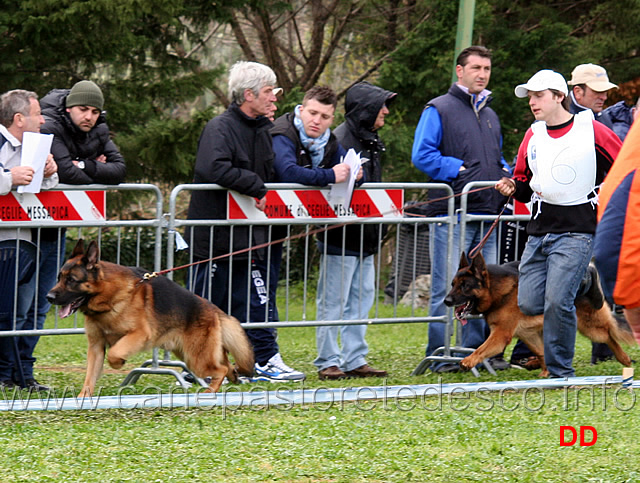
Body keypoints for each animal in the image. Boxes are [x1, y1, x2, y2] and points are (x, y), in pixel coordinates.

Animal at [46, 239, 252, 398]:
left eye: (71, 280)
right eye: (59, 278)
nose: (48, 297)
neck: (109, 296)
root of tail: (215, 310)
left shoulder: (139, 335)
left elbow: (114, 353)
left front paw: (119, 362)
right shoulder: (95, 347)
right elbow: (90, 376)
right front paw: (83, 397)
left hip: (196, 359)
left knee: (221, 369)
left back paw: (209, 392)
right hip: (191, 355)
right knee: (227, 365)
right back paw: (232, 378)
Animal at [442, 251, 632, 376]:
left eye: (465, 286)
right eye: (453, 284)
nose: (446, 301)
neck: (497, 291)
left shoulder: (501, 335)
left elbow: (481, 349)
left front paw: (468, 361)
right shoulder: (528, 334)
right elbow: (541, 352)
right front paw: (545, 373)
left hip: (590, 327)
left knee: (609, 335)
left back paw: (624, 358)